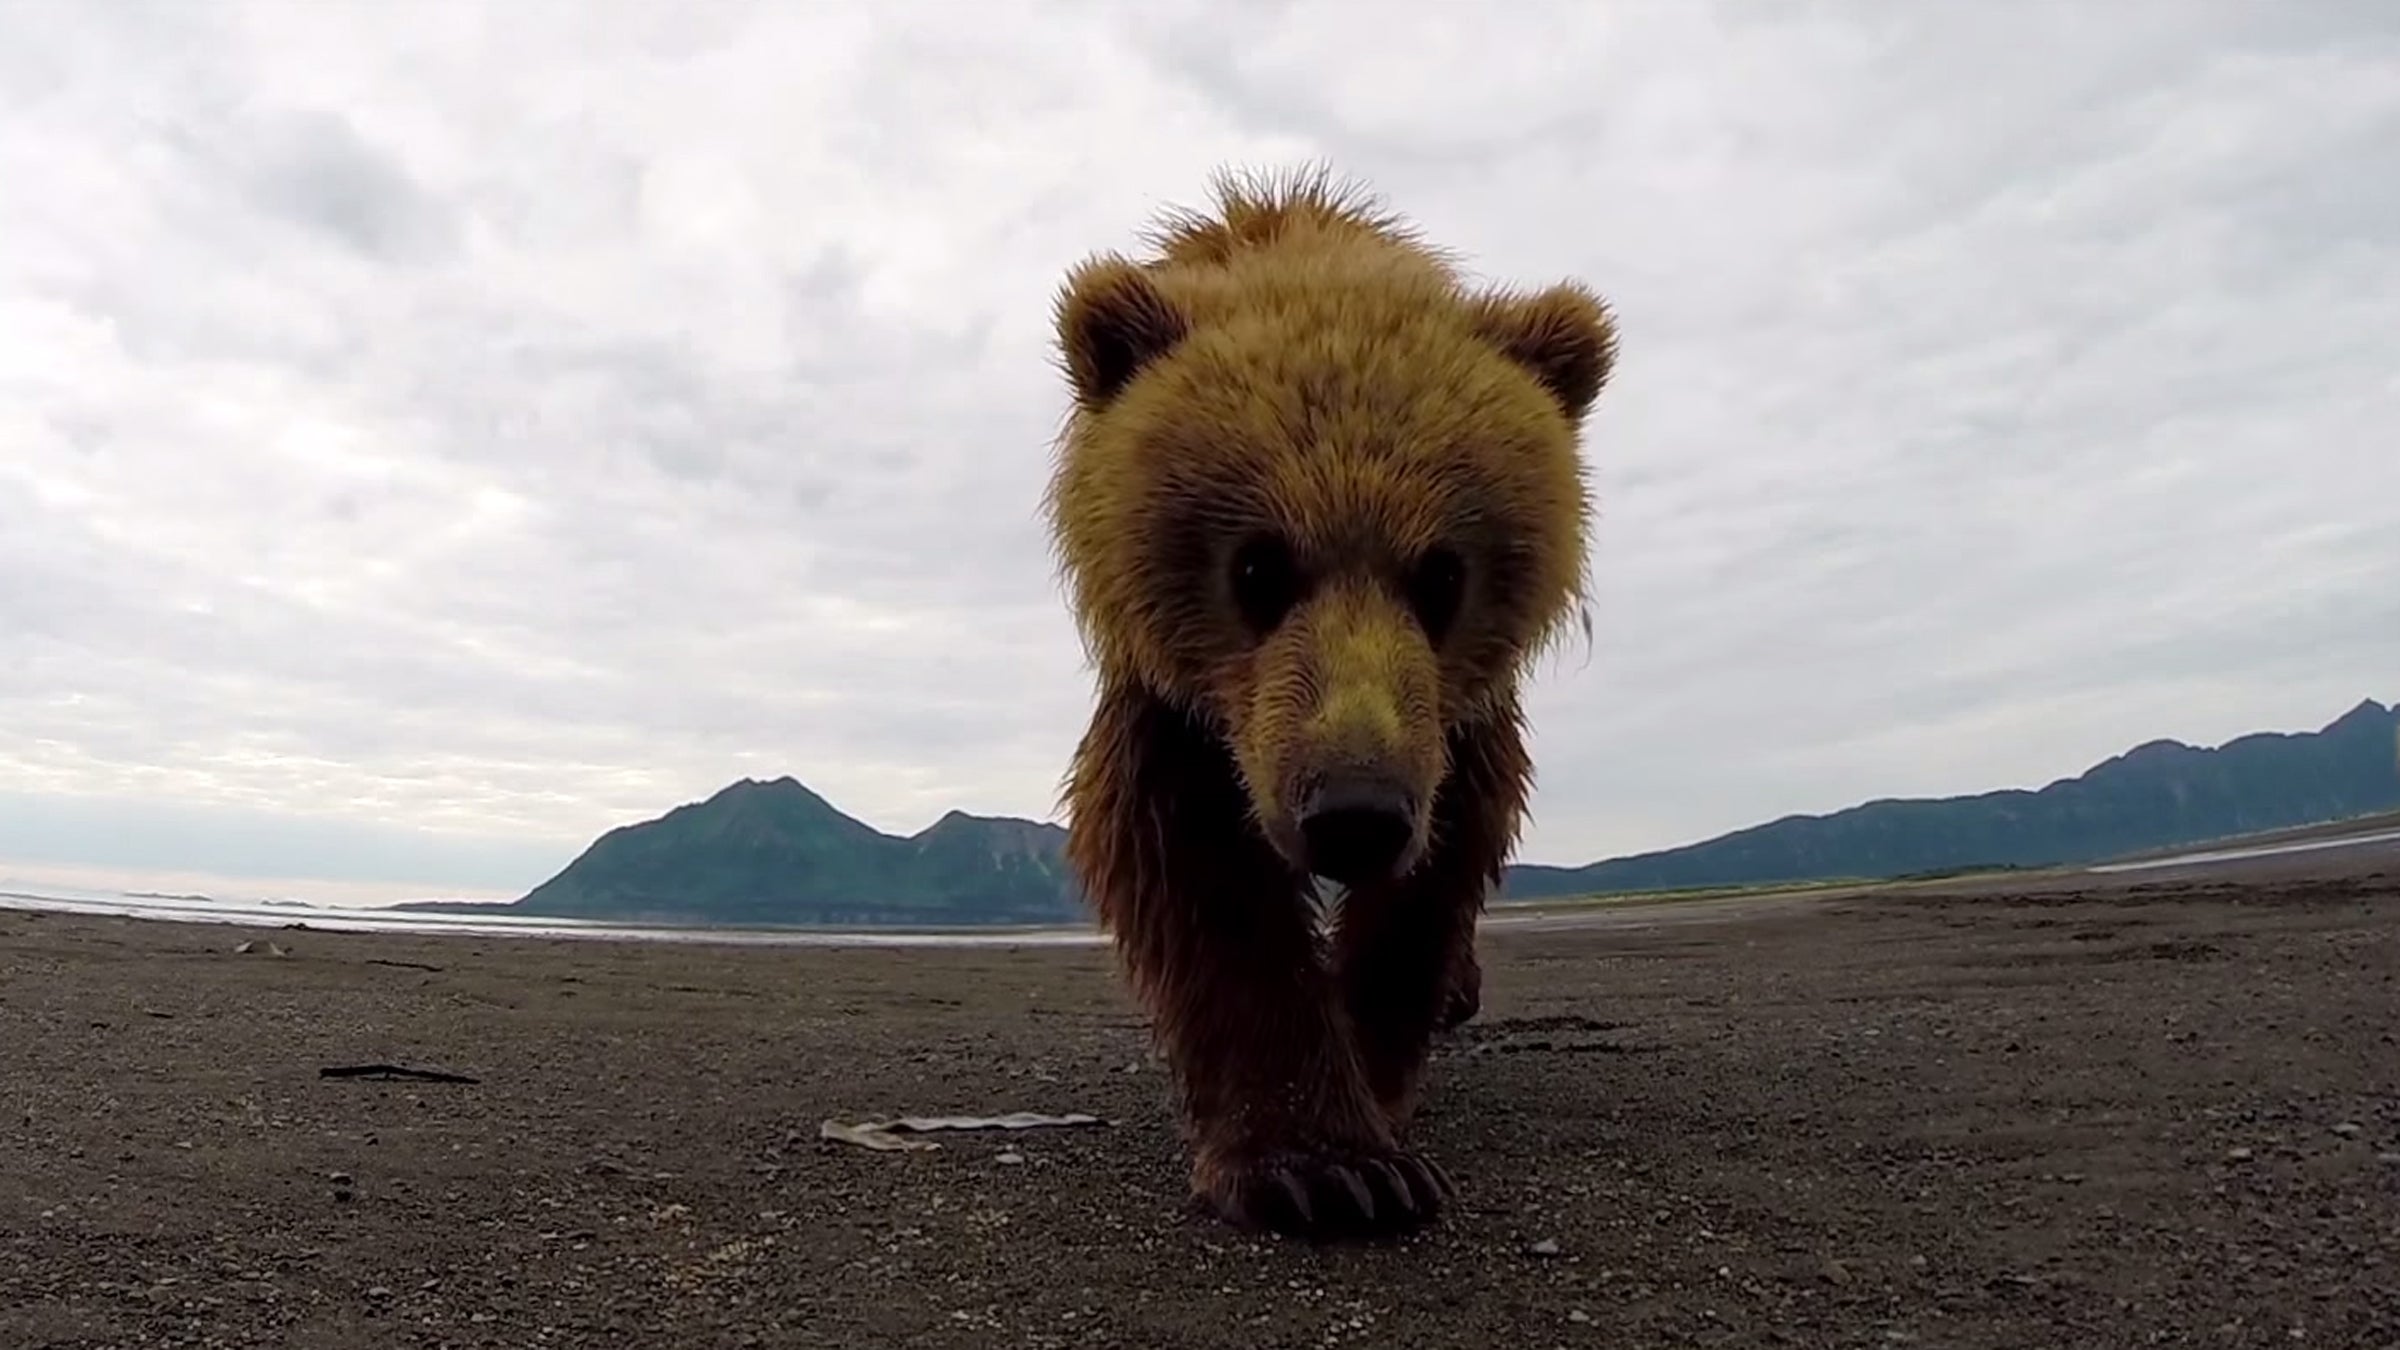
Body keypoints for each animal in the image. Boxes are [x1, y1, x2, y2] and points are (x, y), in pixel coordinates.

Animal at [1040, 165, 1616, 1240]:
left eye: (1442, 574)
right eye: (1258, 567)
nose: (1354, 814)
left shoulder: (1456, 723)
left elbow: (1442, 865)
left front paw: (1375, 1089)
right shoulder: (1179, 706)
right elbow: (1194, 867)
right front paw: (1324, 1168)